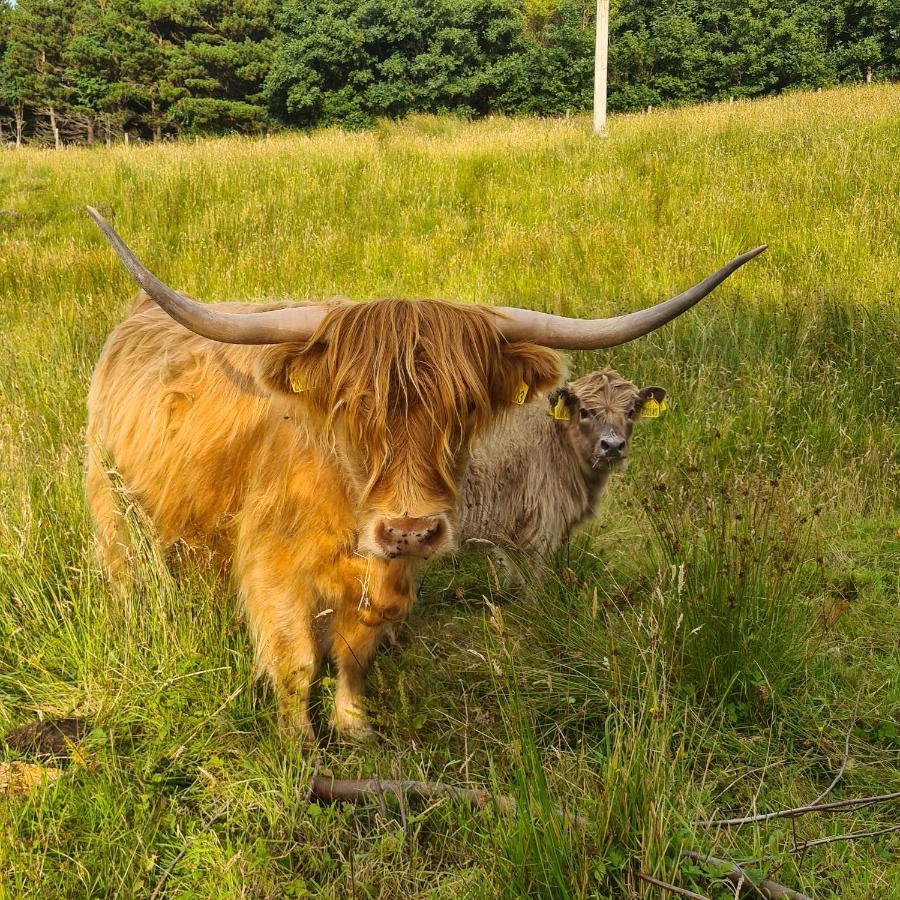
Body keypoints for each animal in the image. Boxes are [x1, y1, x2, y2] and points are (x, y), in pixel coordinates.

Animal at [84, 207, 764, 740]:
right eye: (351, 407)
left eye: (465, 407)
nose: (409, 529)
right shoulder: (272, 566)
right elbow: (295, 660)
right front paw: (299, 746)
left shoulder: (396, 572)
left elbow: (356, 651)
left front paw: (353, 726)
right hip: (112, 505)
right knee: (128, 574)